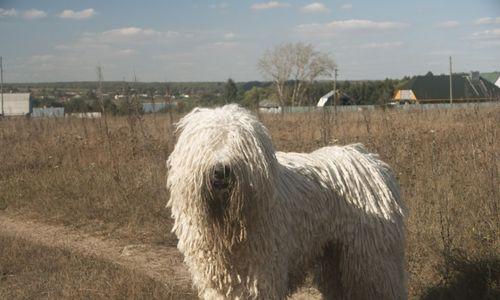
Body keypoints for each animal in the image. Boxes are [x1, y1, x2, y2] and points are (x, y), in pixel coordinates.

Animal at [168, 104, 406, 298]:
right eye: (206, 143)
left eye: (240, 145)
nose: (221, 171)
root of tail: (371, 161)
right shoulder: (218, 282)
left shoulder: (263, 274)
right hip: (333, 257)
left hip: (371, 259)